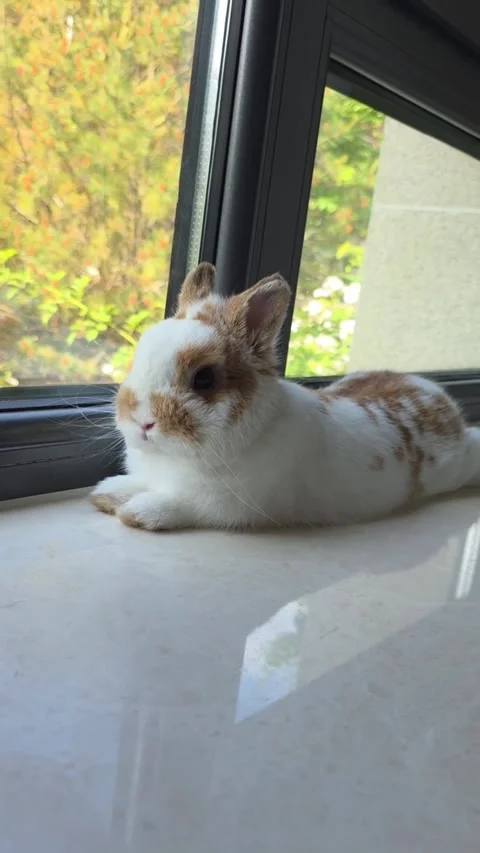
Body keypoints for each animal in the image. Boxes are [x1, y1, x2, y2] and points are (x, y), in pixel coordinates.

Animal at [91, 262, 480, 531]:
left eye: (204, 378)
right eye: (139, 356)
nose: (142, 422)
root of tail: (445, 406)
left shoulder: (218, 505)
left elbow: (176, 504)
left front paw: (137, 512)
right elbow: (135, 484)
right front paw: (106, 493)